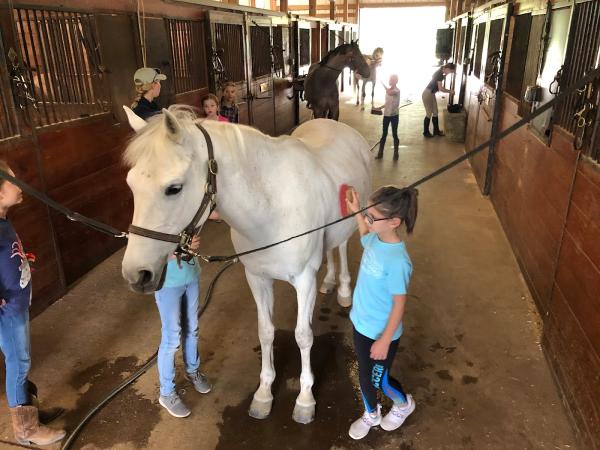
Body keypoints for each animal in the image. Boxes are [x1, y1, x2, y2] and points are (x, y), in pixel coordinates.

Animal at [120, 107, 370, 424]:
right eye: (131, 184)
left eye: (173, 188)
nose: (135, 274)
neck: (272, 206)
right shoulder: (257, 278)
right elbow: (265, 332)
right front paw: (263, 395)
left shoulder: (304, 280)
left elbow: (303, 336)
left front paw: (305, 400)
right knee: (332, 250)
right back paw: (330, 282)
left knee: (341, 247)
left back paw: (345, 291)